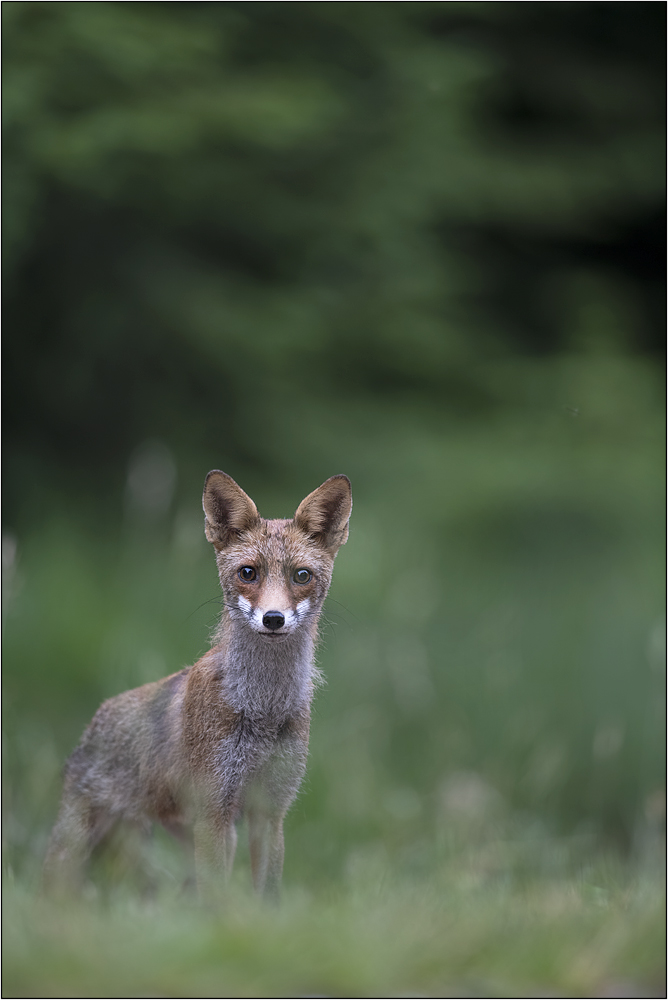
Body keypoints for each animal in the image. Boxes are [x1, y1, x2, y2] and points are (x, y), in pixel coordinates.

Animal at [43, 468, 352, 900]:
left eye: (301, 576)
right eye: (248, 573)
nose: (273, 618)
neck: (262, 708)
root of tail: (93, 723)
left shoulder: (270, 811)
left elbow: (267, 897)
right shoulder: (214, 809)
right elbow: (218, 899)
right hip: (76, 849)